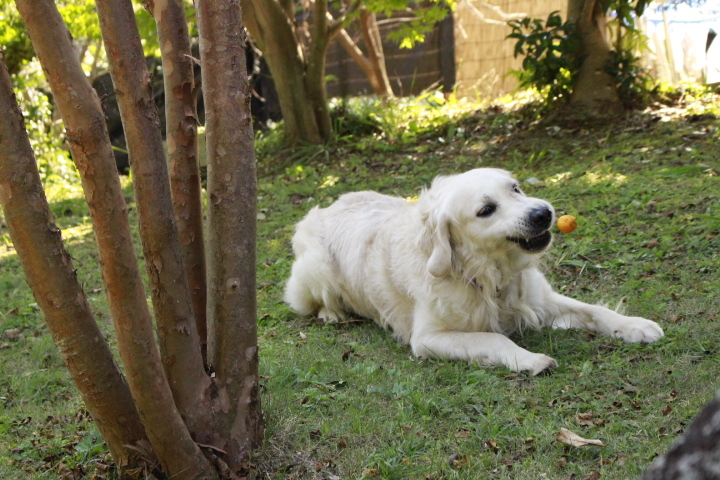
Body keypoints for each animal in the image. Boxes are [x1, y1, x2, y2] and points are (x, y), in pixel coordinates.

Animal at [284, 169, 668, 376]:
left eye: (515, 188)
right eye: (486, 210)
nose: (543, 213)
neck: (488, 274)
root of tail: (327, 205)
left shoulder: (541, 298)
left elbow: (596, 310)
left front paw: (636, 325)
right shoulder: (428, 337)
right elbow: (494, 338)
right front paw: (529, 359)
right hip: (314, 267)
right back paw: (332, 313)